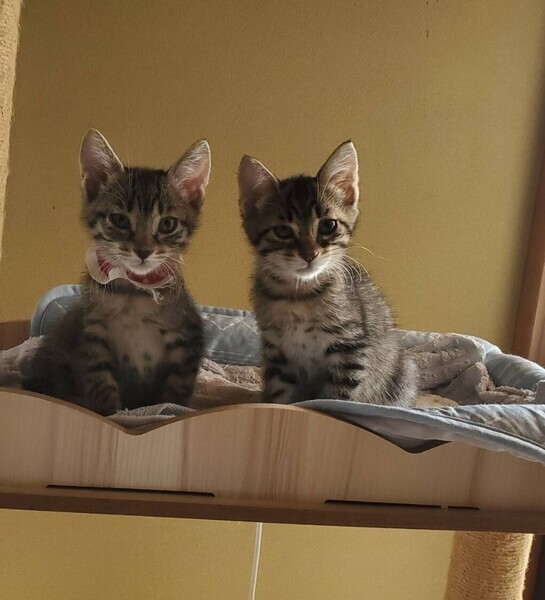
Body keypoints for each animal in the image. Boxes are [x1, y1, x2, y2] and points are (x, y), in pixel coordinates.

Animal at [23, 130, 210, 416]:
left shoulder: (188, 340)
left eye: (168, 224)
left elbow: (174, 395)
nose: (143, 251)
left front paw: (170, 410)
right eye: (120, 220)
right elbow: (102, 386)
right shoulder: (93, 337)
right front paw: (108, 414)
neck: (133, 294)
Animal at [238, 141, 418, 407]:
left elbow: (335, 400)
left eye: (327, 225)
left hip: (405, 372)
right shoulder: (277, 355)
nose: (309, 254)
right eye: (282, 231)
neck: (298, 295)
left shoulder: (350, 351)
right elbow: (280, 399)